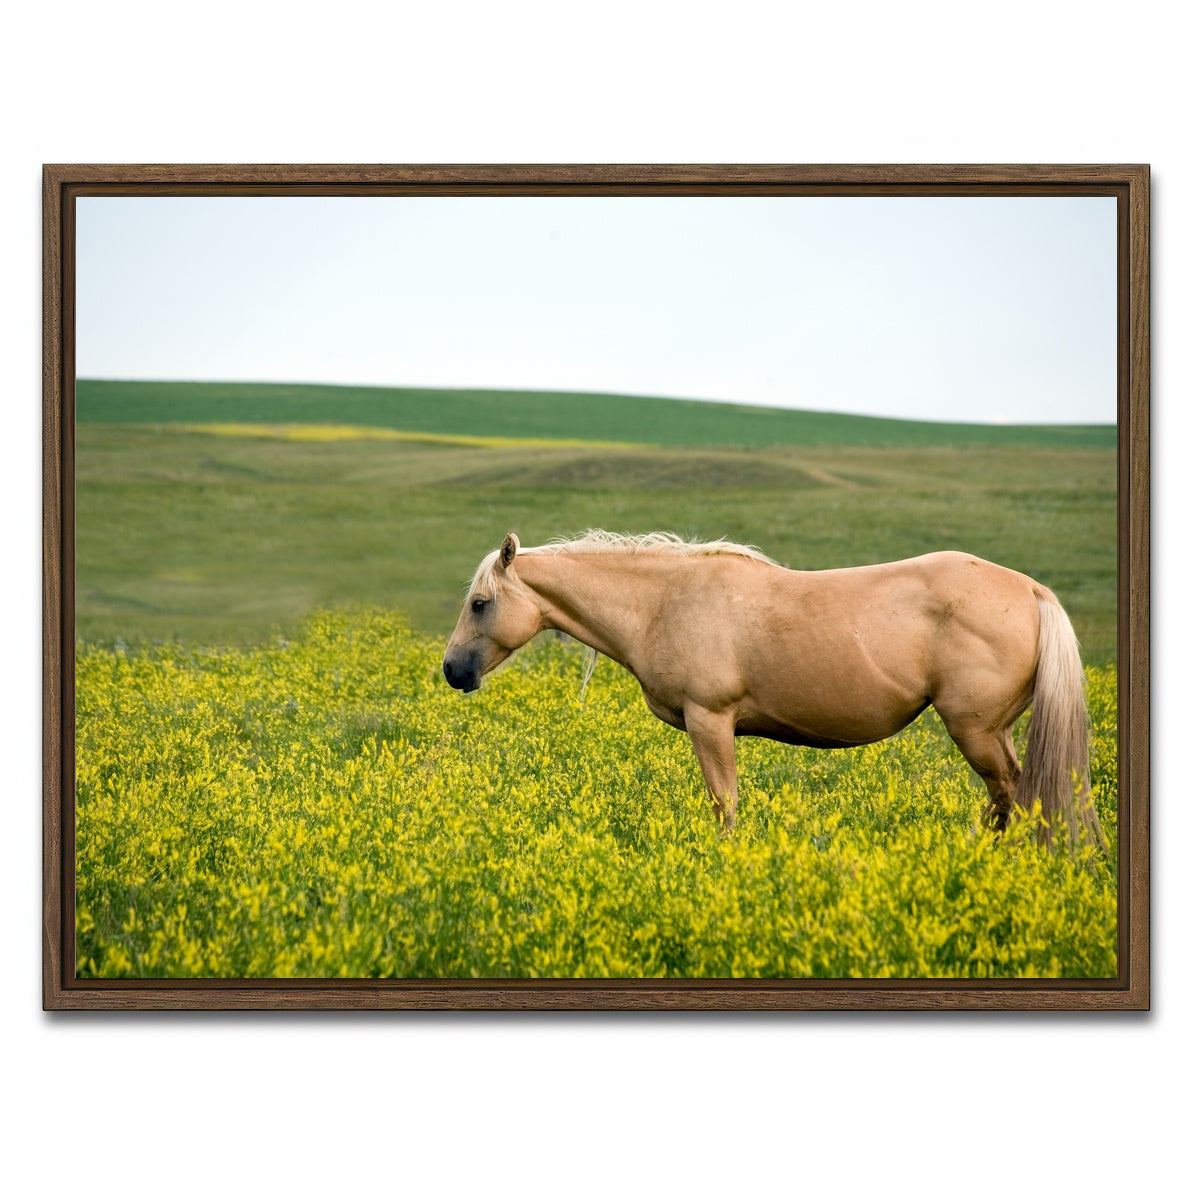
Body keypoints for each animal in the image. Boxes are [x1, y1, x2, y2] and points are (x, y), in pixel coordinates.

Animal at [442, 530, 1100, 845]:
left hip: (976, 732)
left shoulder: (710, 722)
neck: (663, 602)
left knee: (1013, 794)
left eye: (479, 604)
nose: (452, 671)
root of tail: (1030, 590)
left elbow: (724, 804)